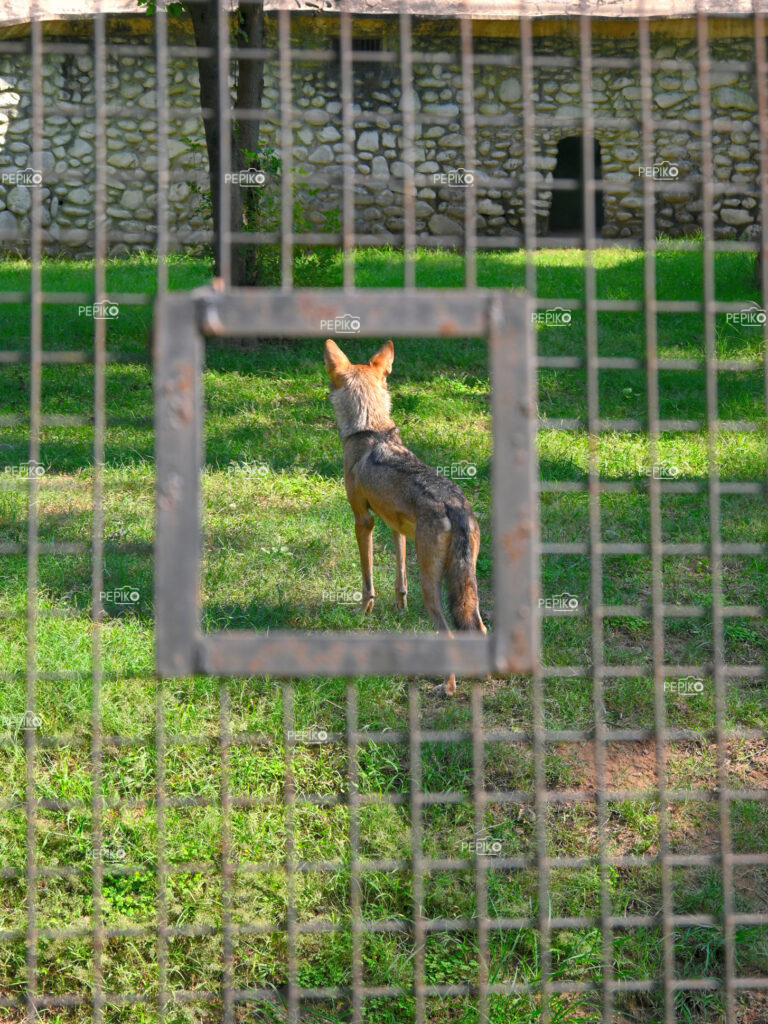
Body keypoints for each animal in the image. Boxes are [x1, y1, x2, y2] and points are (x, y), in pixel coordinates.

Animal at [325, 337, 487, 696]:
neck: (369, 429)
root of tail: (456, 504)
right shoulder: (395, 527)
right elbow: (399, 579)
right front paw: (399, 608)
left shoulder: (363, 520)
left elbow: (368, 579)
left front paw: (364, 611)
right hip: (466, 585)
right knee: (480, 629)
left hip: (432, 585)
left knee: (450, 634)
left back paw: (447, 688)